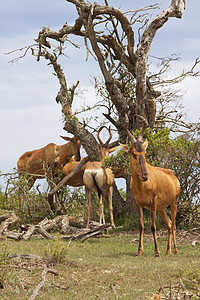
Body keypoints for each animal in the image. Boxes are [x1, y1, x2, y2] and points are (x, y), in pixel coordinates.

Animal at [119, 116, 180, 256]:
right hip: (161, 208)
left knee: (173, 225)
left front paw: (156, 252)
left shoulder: (153, 202)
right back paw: (168, 251)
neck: (142, 185)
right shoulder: (139, 203)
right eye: (134, 153)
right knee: (169, 225)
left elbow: (153, 226)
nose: (145, 175)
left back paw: (175, 250)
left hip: (173, 203)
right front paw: (139, 251)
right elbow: (141, 226)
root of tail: (173, 175)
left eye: (145, 153)